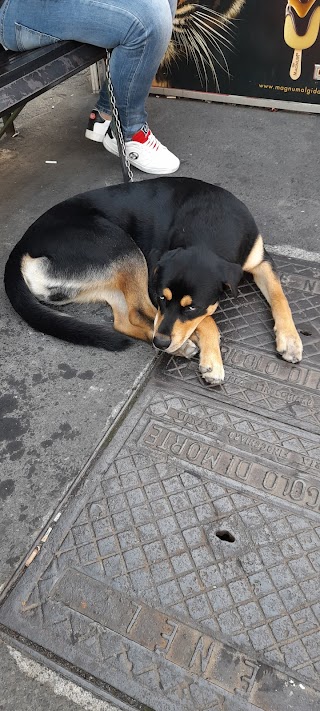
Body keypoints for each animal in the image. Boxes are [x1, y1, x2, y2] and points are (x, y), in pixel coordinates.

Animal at [4, 181, 302, 386]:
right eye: (162, 298)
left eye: (191, 307)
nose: (159, 343)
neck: (212, 224)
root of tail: (22, 247)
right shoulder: (154, 280)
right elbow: (208, 321)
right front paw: (211, 360)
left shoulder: (261, 261)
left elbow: (280, 297)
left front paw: (290, 339)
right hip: (121, 246)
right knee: (138, 312)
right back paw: (183, 346)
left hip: (112, 273)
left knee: (124, 320)